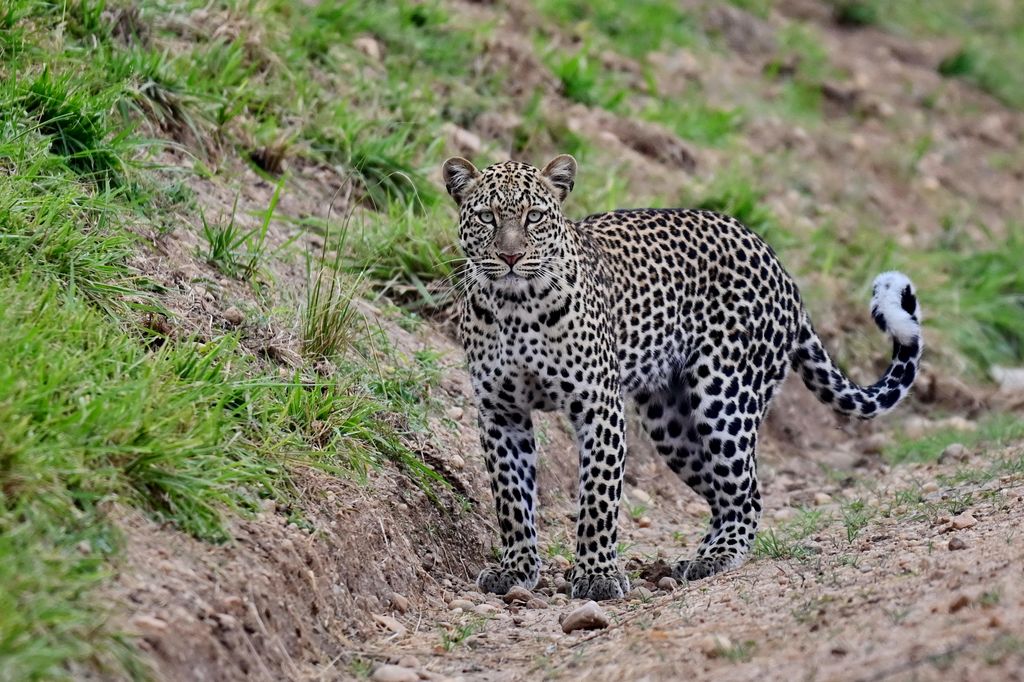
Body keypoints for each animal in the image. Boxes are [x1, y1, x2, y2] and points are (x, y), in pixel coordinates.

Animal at [444, 152, 925, 593]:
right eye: (487, 217)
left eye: (535, 216)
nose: (510, 256)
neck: (515, 307)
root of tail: (778, 265)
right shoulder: (501, 414)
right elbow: (511, 497)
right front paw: (515, 569)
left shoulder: (599, 406)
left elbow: (598, 496)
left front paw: (598, 575)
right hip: (670, 424)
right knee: (723, 491)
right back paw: (694, 558)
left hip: (724, 399)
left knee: (746, 493)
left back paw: (715, 558)